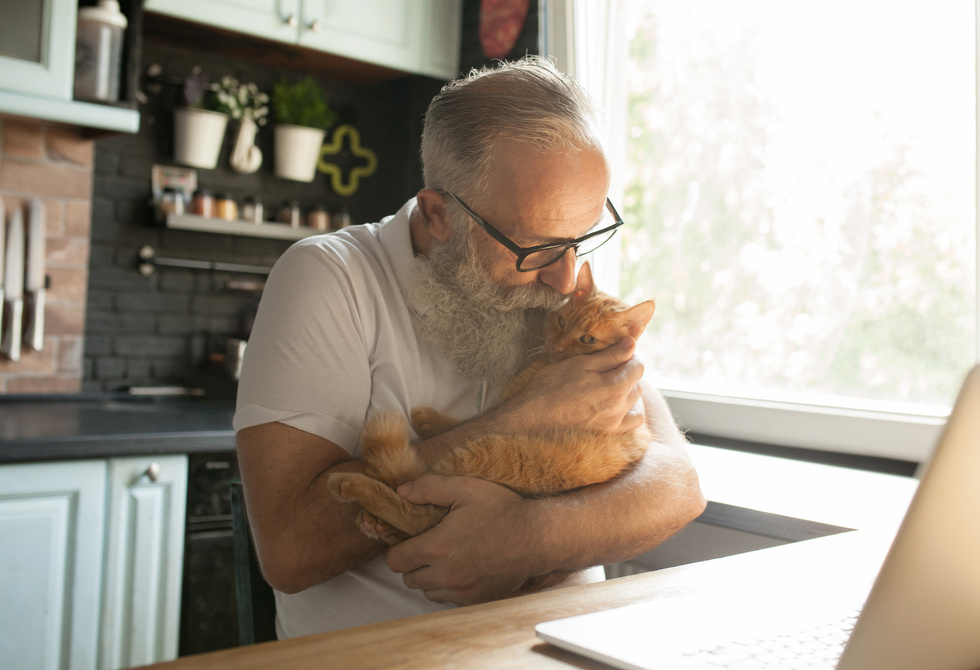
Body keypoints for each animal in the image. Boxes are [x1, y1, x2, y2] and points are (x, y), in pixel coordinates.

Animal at [326, 266, 656, 592]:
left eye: (587, 339)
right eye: (562, 321)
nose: (558, 346)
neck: (546, 362)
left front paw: (429, 419)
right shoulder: (508, 401)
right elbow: (472, 418)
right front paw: (432, 420)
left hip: (480, 455)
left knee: (421, 516)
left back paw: (353, 487)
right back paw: (379, 525)